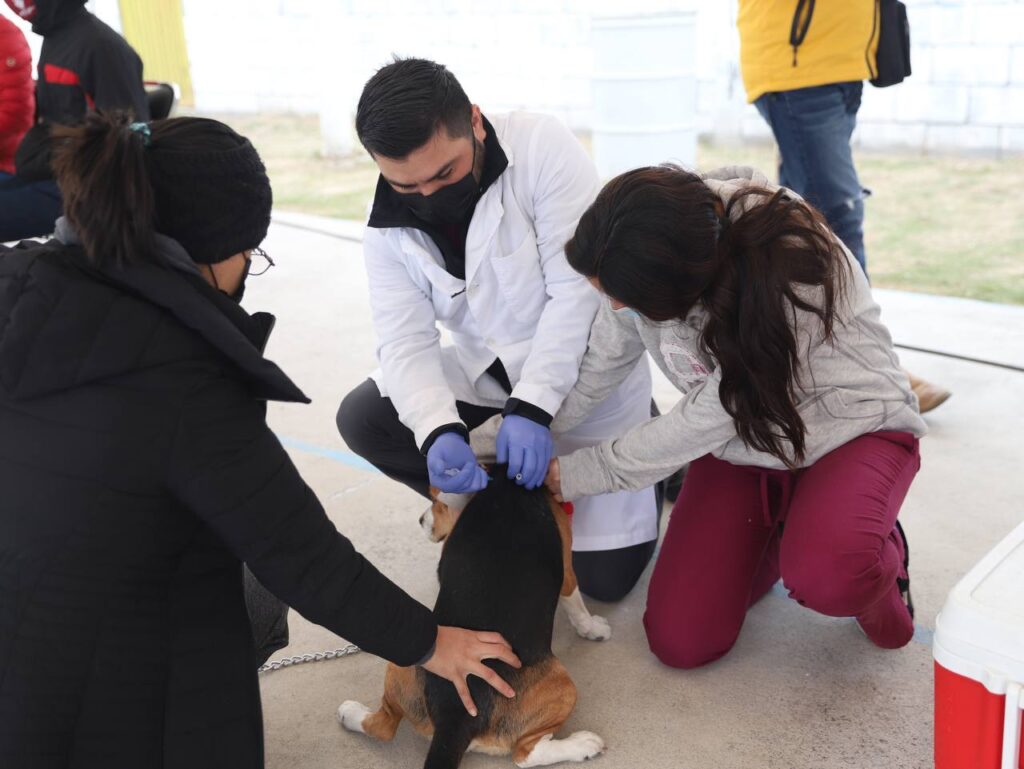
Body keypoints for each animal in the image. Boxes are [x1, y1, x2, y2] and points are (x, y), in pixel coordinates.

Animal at [339, 466, 606, 765]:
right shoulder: (568, 570)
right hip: (564, 686)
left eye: (437, 500)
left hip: (402, 660)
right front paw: (594, 628)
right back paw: (582, 744)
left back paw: (350, 713)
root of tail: (454, 715)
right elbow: (577, 605)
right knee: (525, 754)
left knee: (383, 725)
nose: (420, 521)